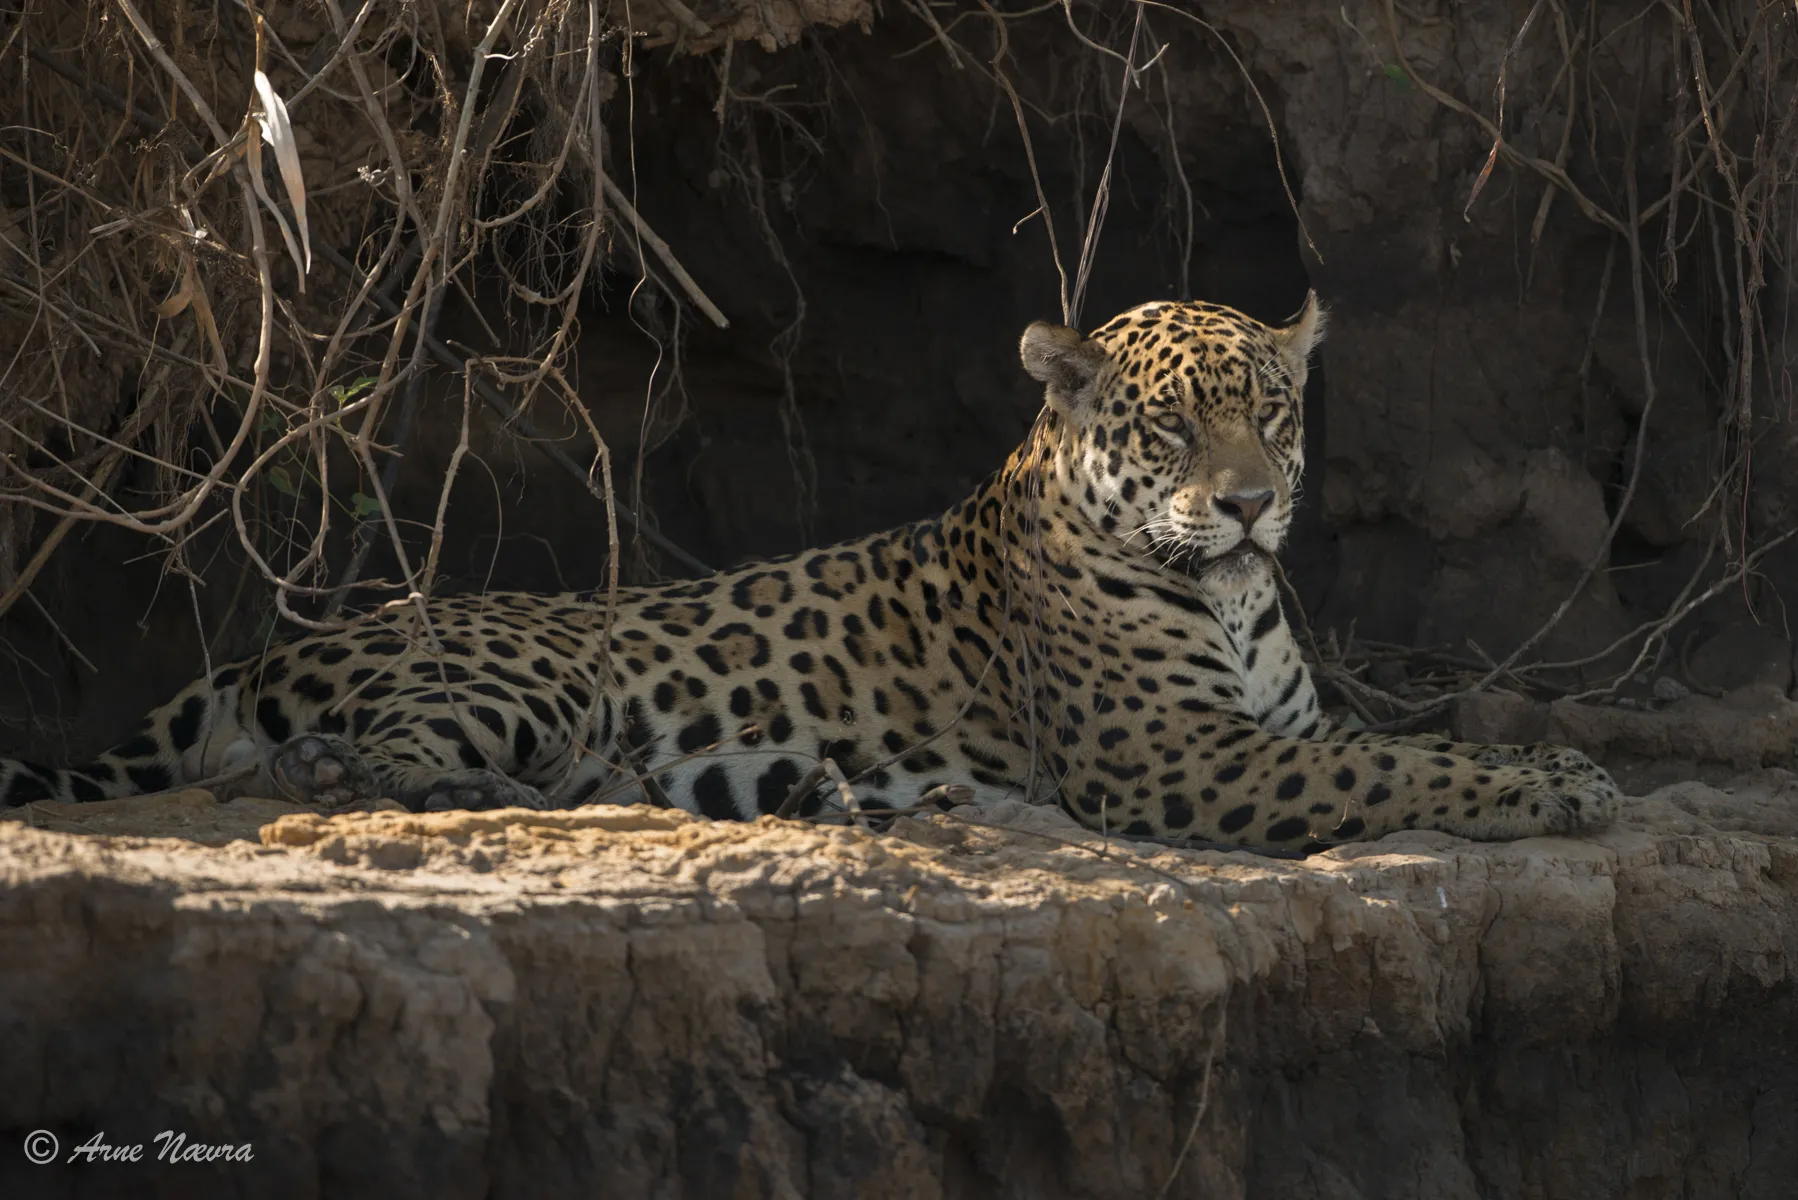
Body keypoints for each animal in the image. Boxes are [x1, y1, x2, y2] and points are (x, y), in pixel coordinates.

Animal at [0, 294, 1620, 849]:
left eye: (1271, 413)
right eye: (1169, 426)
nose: (1248, 505)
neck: (1223, 597)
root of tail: (266, 650)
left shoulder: (1254, 727)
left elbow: (1379, 745)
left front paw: (1544, 766)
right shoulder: (1170, 754)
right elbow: (1388, 768)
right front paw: (1552, 788)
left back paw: (819, 793)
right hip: (538, 671)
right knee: (372, 765)